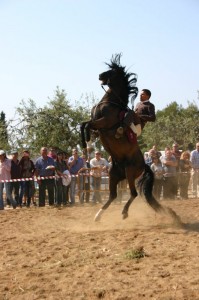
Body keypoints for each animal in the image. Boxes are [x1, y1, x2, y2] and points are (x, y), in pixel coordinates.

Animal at [80, 54, 164, 221]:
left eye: (112, 71)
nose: (100, 75)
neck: (111, 102)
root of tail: (144, 164)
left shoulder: (103, 122)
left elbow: (86, 125)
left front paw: (87, 143)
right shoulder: (96, 124)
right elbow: (83, 124)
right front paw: (86, 144)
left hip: (130, 173)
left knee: (133, 193)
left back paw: (124, 212)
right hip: (114, 175)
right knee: (113, 195)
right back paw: (98, 215)